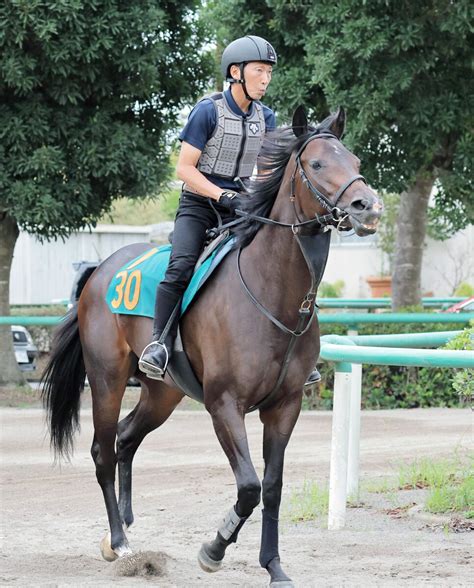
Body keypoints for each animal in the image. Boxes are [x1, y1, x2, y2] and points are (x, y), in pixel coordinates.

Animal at [40, 107, 382, 588]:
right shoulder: (224, 405)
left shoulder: (285, 406)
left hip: (162, 392)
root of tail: (99, 272)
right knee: (103, 451)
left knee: (126, 439)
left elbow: (272, 488)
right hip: (107, 379)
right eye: (316, 164)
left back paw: (124, 524)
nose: (367, 206)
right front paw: (214, 549)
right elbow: (249, 486)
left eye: (353, 160)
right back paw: (119, 542)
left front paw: (274, 566)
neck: (271, 291)